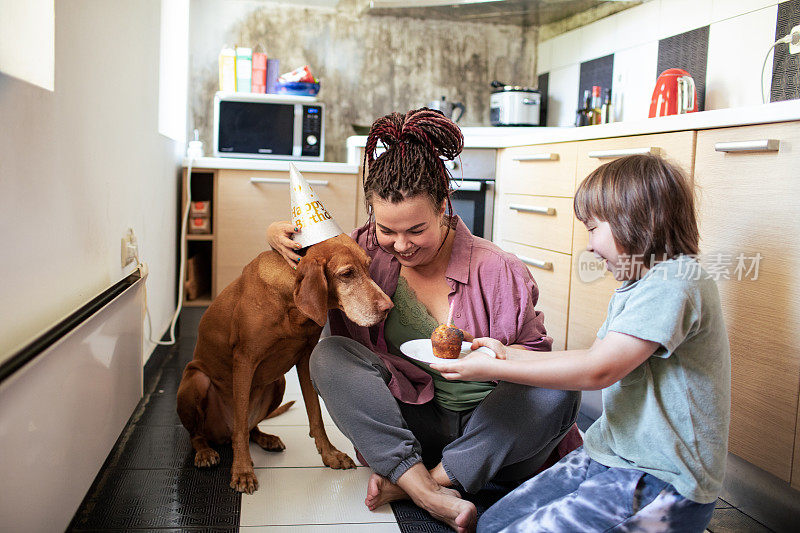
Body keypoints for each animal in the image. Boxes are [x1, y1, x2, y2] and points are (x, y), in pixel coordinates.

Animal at [180, 235, 396, 492]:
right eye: (347, 274)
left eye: (368, 267)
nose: (389, 307)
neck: (291, 303)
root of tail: (220, 434)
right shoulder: (244, 361)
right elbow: (240, 427)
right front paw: (242, 470)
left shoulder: (305, 358)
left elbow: (315, 415)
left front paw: (330, 454)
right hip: (197, 380)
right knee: (202, 434)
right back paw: (205, 452)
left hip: (278, 383)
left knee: (250, 427)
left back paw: (266, 438)